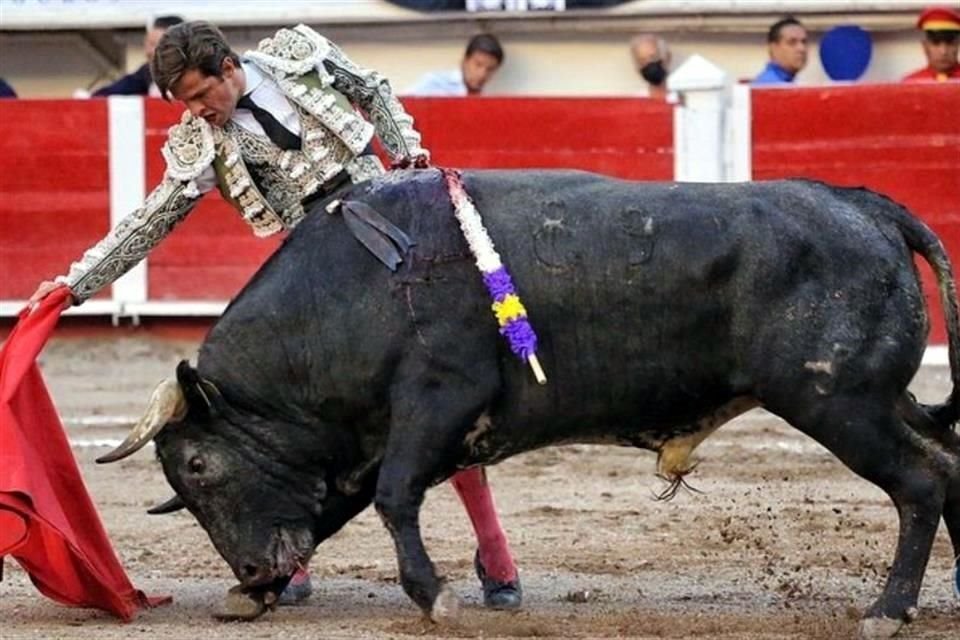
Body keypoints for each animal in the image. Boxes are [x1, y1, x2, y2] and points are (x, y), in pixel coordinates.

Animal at [95, 171, 960, 640]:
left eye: (199, 464)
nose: (247, 568)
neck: (356, 293)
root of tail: (864, 206)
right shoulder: (377, 439)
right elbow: (356, 502)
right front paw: (258, 596)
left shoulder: (434, 402)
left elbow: (396, 497)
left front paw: (437, 597)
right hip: (883, 399)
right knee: (947, 463)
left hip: (839, 402)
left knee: (919, 483)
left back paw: (888, 609)